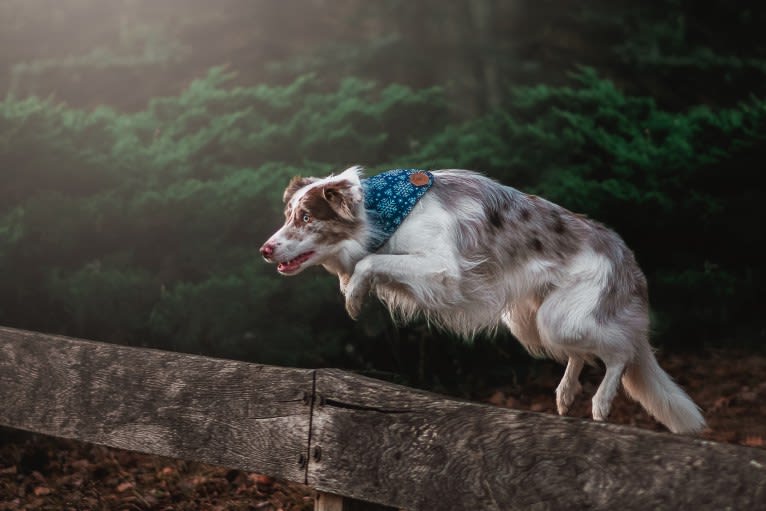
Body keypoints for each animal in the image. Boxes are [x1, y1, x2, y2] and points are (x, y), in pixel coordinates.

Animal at [262, 166, 708, 434]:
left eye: (306, 217)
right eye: (288, 216)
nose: (265, 250)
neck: (383, 212)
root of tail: (627, 258)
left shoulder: (442, 269)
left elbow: (371, 262)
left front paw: (353, 295)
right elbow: (374, 263)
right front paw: (352, 288)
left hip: (566, 317)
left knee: (622, 351)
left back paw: (600, 401)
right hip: (535, 319)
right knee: (581, 352)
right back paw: (566, 393)